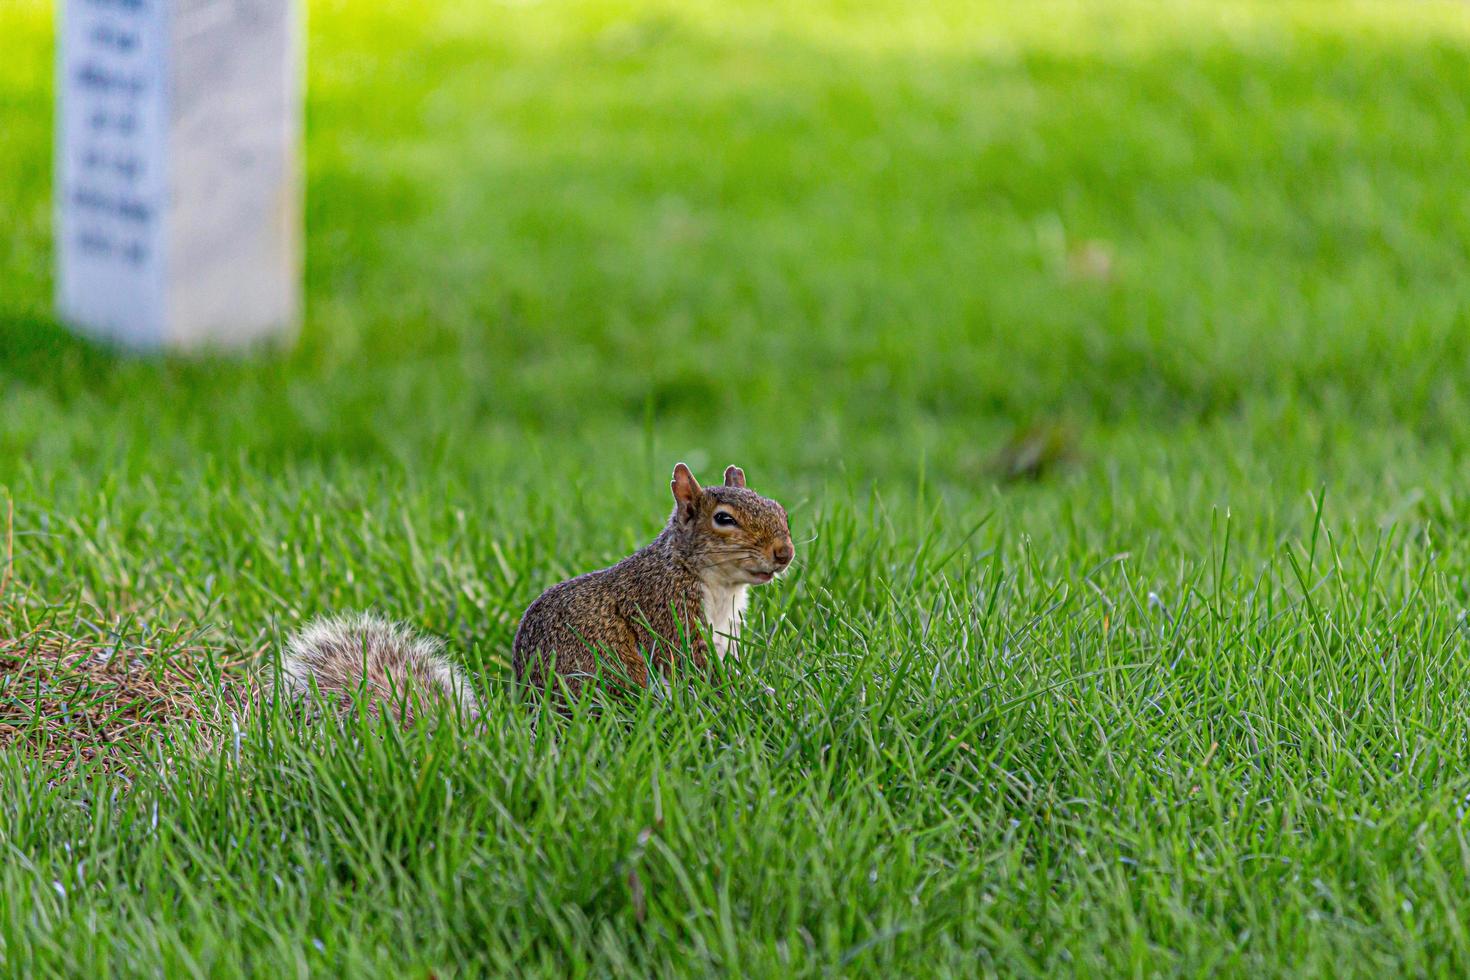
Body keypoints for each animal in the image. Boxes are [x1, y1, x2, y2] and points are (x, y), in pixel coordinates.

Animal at [280, 464, 799, 717]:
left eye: (779, 508)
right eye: (724, 519)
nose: (785, 553)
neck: (717, 586)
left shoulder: (726, 631)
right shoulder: (664, 611)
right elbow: (692, 665)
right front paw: (749, 693)